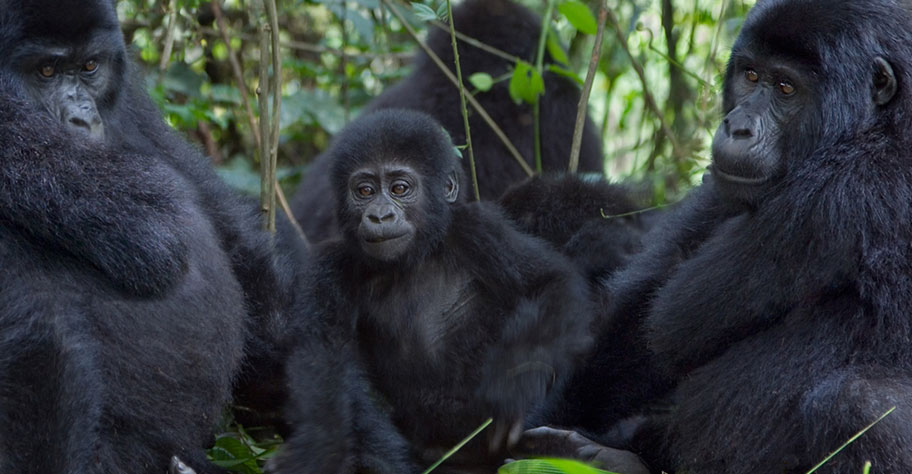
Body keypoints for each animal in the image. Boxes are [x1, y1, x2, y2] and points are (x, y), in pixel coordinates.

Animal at [0, 1, 296, 472]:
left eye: (90, 67)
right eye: (45, 71)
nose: (82, 119)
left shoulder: (133, 101)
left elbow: (229, 230)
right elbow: (36, 341)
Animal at [276, 109, 592, 472]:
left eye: (400, 188)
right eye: (364, 190)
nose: (380, 216)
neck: (415, 258)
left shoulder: (478, 227)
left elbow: (550, 282)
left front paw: (516, 384)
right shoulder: (328, 267)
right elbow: (324, 360)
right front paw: (320, 448)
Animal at [596, 0, 912, 472]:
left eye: (785, 88)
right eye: (750, 75)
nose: (737, 127)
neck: (885, 121)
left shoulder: (845, 191)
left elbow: (671, 321)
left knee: (857, 405)